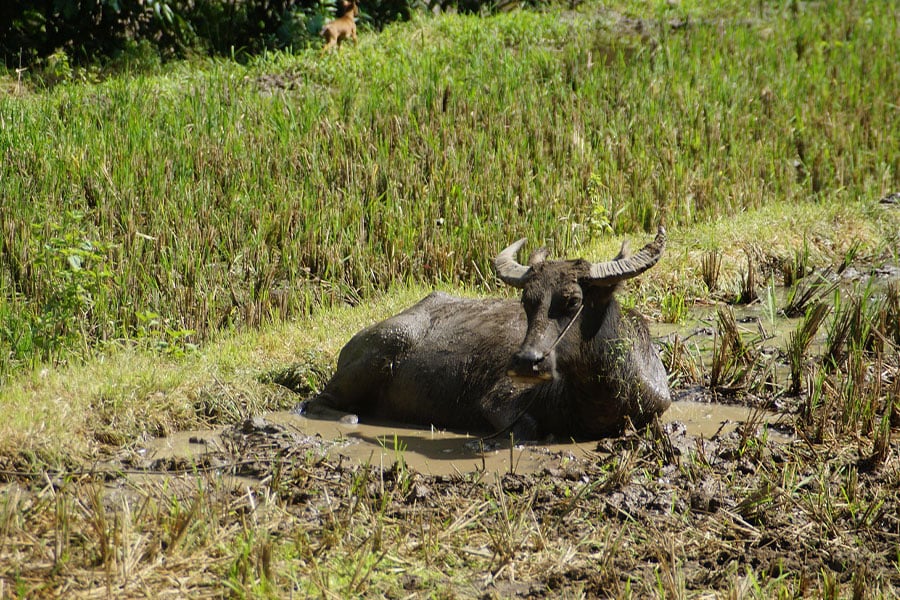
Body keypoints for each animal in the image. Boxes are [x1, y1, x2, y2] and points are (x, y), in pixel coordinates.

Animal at [302, 227, 671, 439]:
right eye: (527, 300)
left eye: (573, 300)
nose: (526, 362)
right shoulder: (497, 403)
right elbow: (530, 428)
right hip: (380, 352)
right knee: (314, 402)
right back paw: (349, 416)